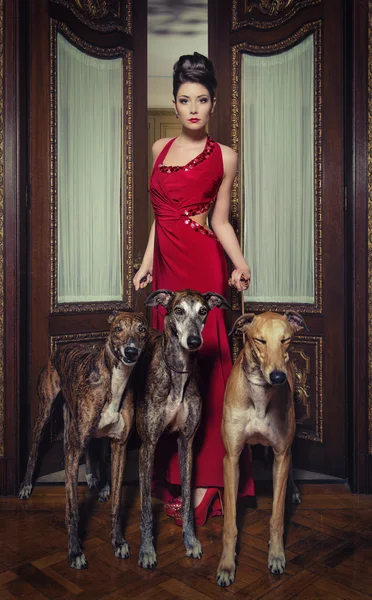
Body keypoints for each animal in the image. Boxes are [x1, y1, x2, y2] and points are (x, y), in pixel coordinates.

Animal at [19, 312, 148, 568]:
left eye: (142, 330)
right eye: (118, 329)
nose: (131, 352)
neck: (114, 381)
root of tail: (62, 348)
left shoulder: (119, 445)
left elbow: (117, 502)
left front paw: (118, 541)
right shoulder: (72, 449)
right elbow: (73, 509)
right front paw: (75, 551)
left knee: (93, 451)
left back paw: (95, 479)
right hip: (45, 412)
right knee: (35, 449)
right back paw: (27, 485)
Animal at [135, 288, 231, 568]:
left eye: (203, 311)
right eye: (178, 310)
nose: (194, 340)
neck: (178, 371)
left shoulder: (186, 443)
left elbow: (188, 498)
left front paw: (190, 541)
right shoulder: (148, 446)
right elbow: (146, 506)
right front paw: (147, 550)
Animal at [217, 310, 306, 584]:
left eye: (285, 340)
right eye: (260, 340)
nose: (278, 377)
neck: (259, 394)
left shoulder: (280, 455)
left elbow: (277, 516)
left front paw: (276, 555)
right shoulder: (231, 458)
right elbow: (230, 523)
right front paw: (227, 565)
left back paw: (294, 490)